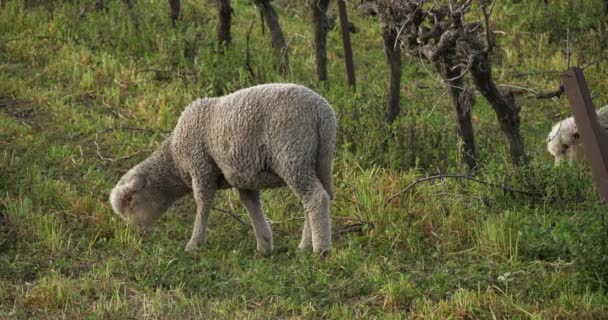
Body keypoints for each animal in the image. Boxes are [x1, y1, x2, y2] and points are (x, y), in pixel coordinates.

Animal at [109, 84, 338, 254]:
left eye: (131, 202)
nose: (139, 236)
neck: (174, 158)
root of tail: (322, 113)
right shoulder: (244, 176)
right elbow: (251, 205)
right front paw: (264, 246)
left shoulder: (200, 166)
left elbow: (203, 203)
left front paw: (194, 243)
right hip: (313, 159)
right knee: (314, 198)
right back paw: (305, 245)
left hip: (291, 153)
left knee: (316, 198)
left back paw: (320, 249)